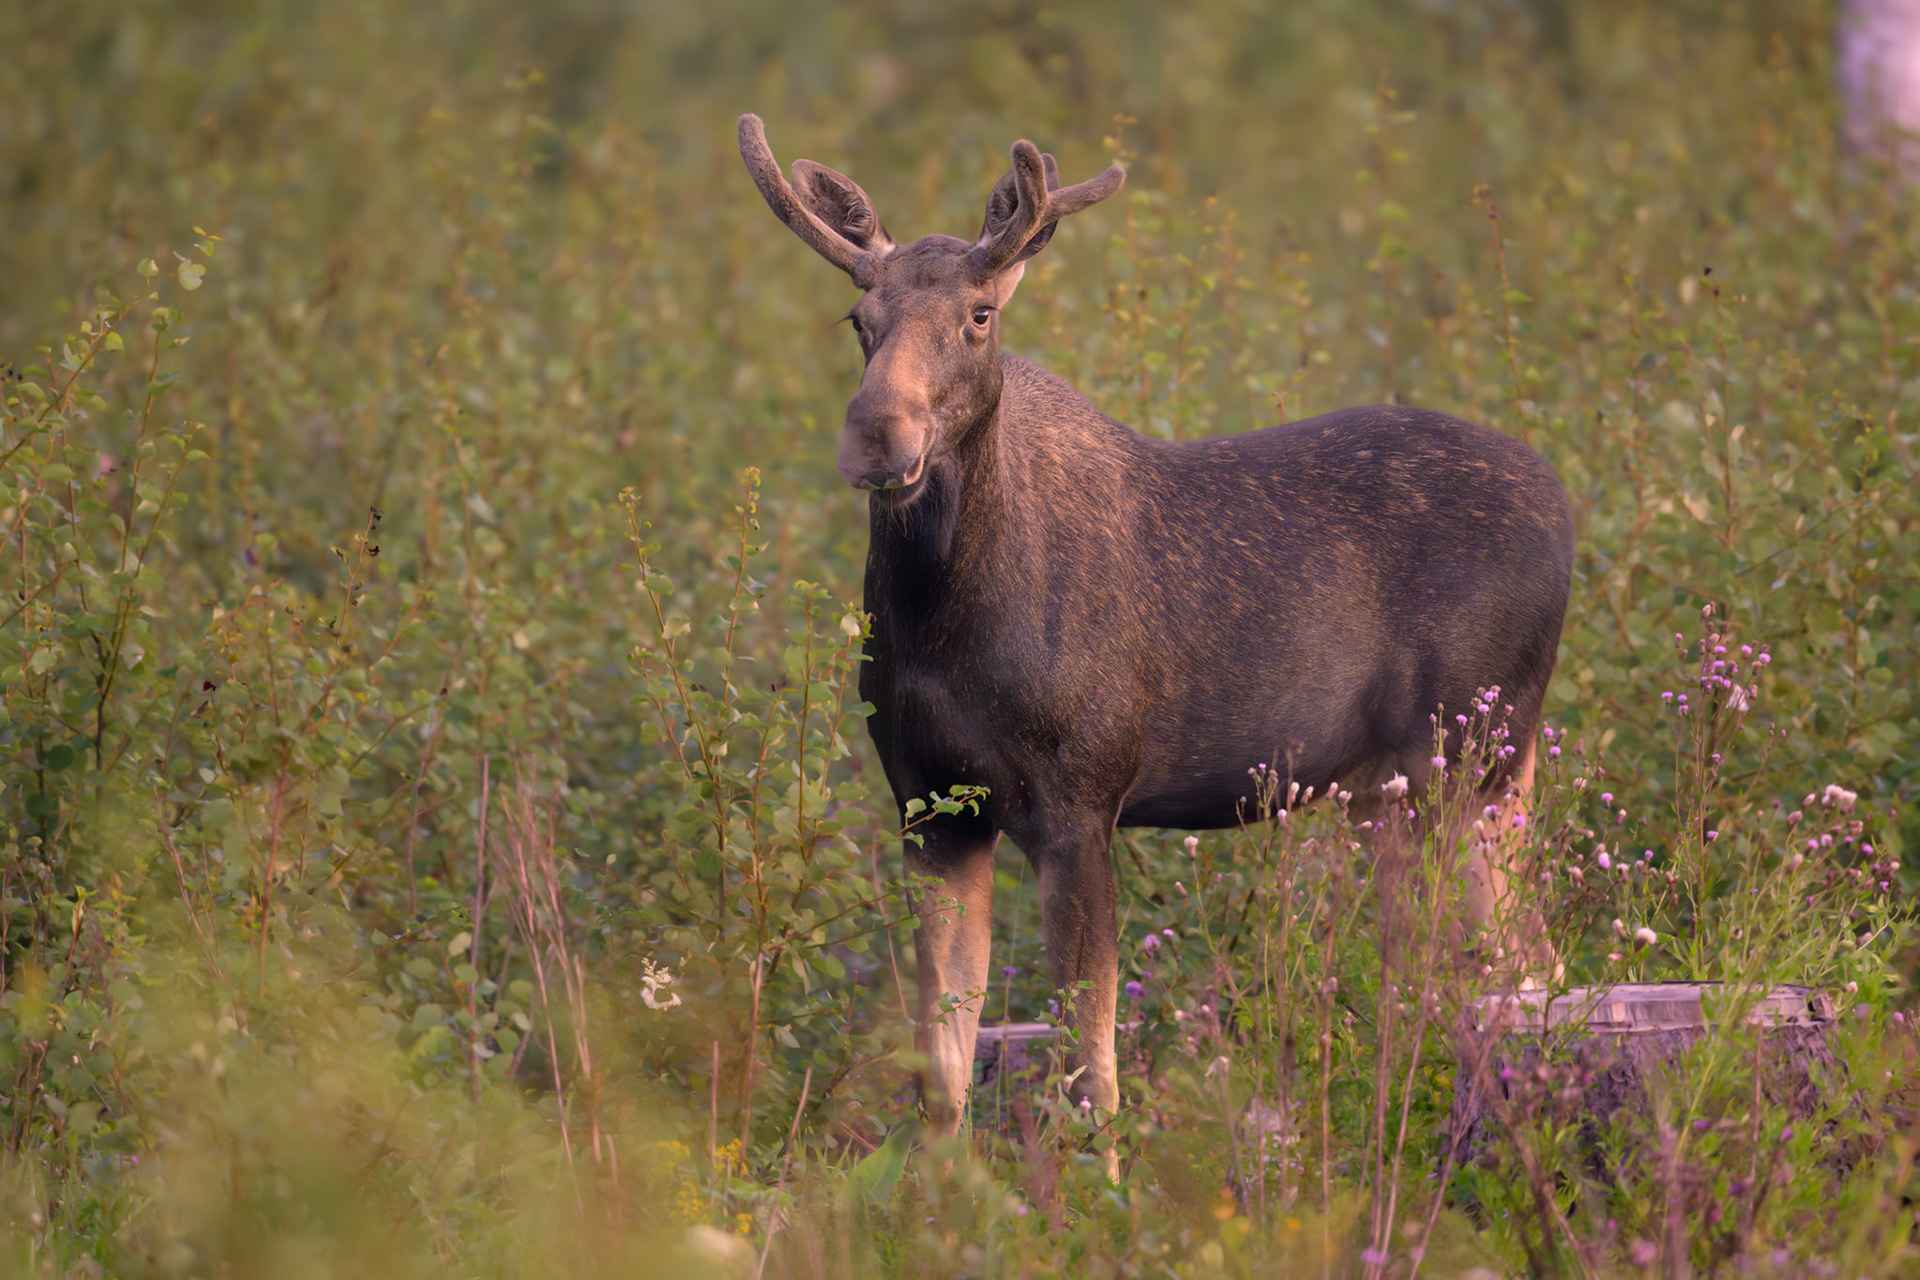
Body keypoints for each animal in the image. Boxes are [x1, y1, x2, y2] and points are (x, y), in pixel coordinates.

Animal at [736, 114, 1575, 1161]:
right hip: (1388, 792)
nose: (876, 438)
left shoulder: (1081, 798)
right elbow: (942, 1074)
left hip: (1477, 757)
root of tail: (1567, 509)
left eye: (980, 315)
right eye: (860, 320)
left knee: (1529, 969)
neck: (944, 624)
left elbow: (1090, 1071)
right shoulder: (932, 810)